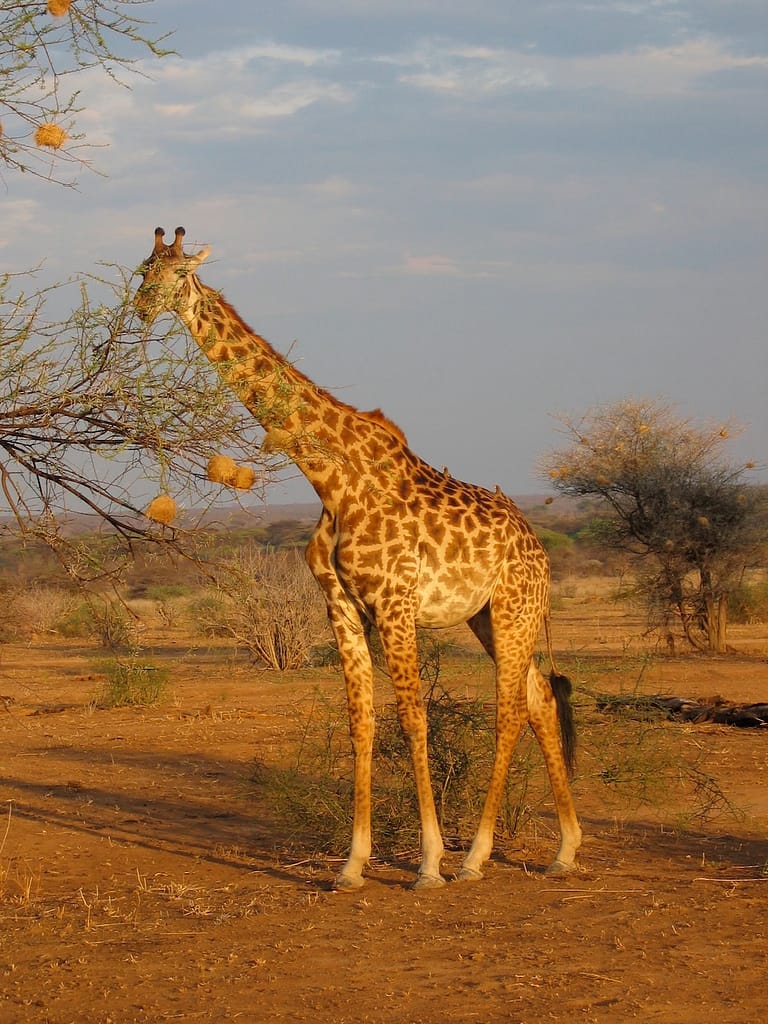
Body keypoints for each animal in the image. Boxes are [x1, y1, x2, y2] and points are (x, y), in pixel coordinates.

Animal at [134, 226, 582, 890]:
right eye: (142, 271)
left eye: (176, 274)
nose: (140, 309)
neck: (328, 477)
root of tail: (539, 550)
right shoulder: (342, 605)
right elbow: (361, 722)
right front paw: (352, 863)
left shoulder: (394, 602)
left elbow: (414, 718)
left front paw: (428, 863)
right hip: (489, 617)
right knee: (540, 701)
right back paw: (566, 849)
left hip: (513, 609)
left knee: (508, 710)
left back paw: (474, 857)